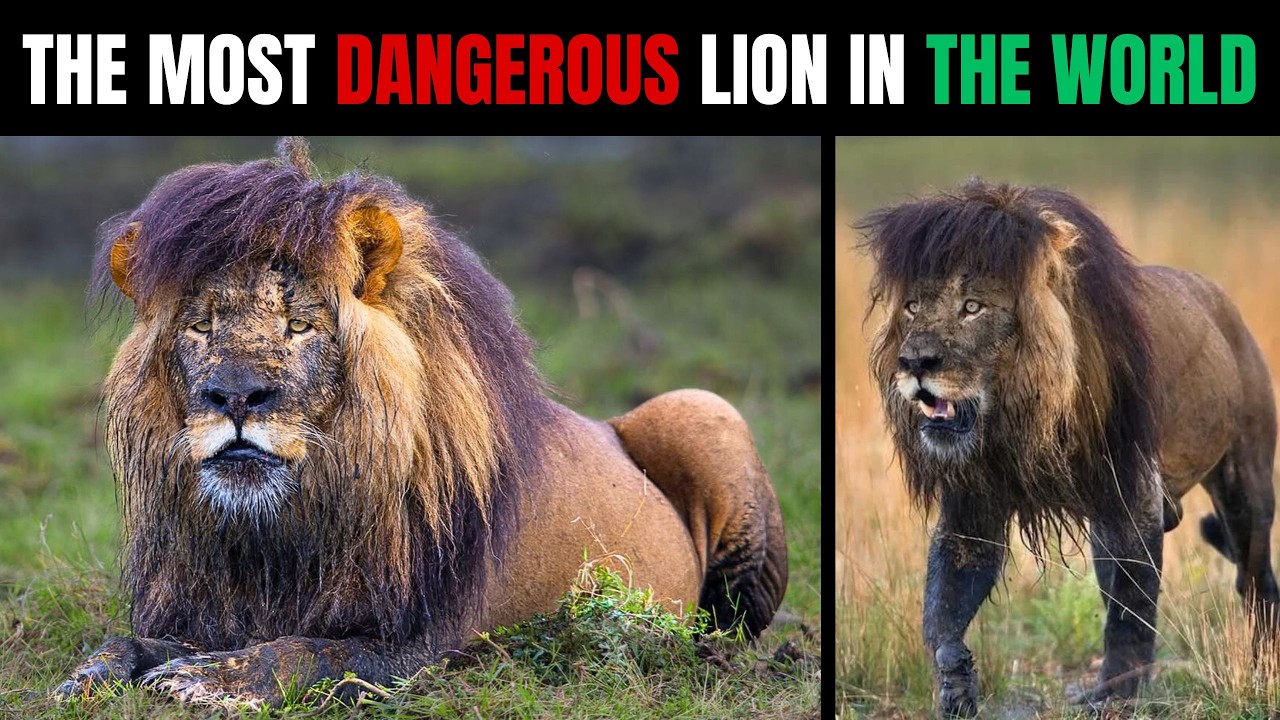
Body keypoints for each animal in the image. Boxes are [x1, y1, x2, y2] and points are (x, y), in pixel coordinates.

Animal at [53, 138, 788, 709]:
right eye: (200, 327)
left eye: (299, 325)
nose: (235, 396)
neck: (280, 535)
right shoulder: (204, 606)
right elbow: (125, 641)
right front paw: (87, 676)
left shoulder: (431, 645)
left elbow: (307, 651)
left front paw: (206, 680)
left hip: (702, 408)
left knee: (730, 629)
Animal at [858, 179, 1279, 717]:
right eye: (912, 306)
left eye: (972, 307)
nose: (913, 362)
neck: (1019, 418)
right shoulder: (972, 505)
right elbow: (944, 603)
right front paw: (955, 683)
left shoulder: (1133, 497)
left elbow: (1130, 610)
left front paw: (1116, 695)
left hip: (1245, 481)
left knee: (1255, 578)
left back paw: (1262, 665)